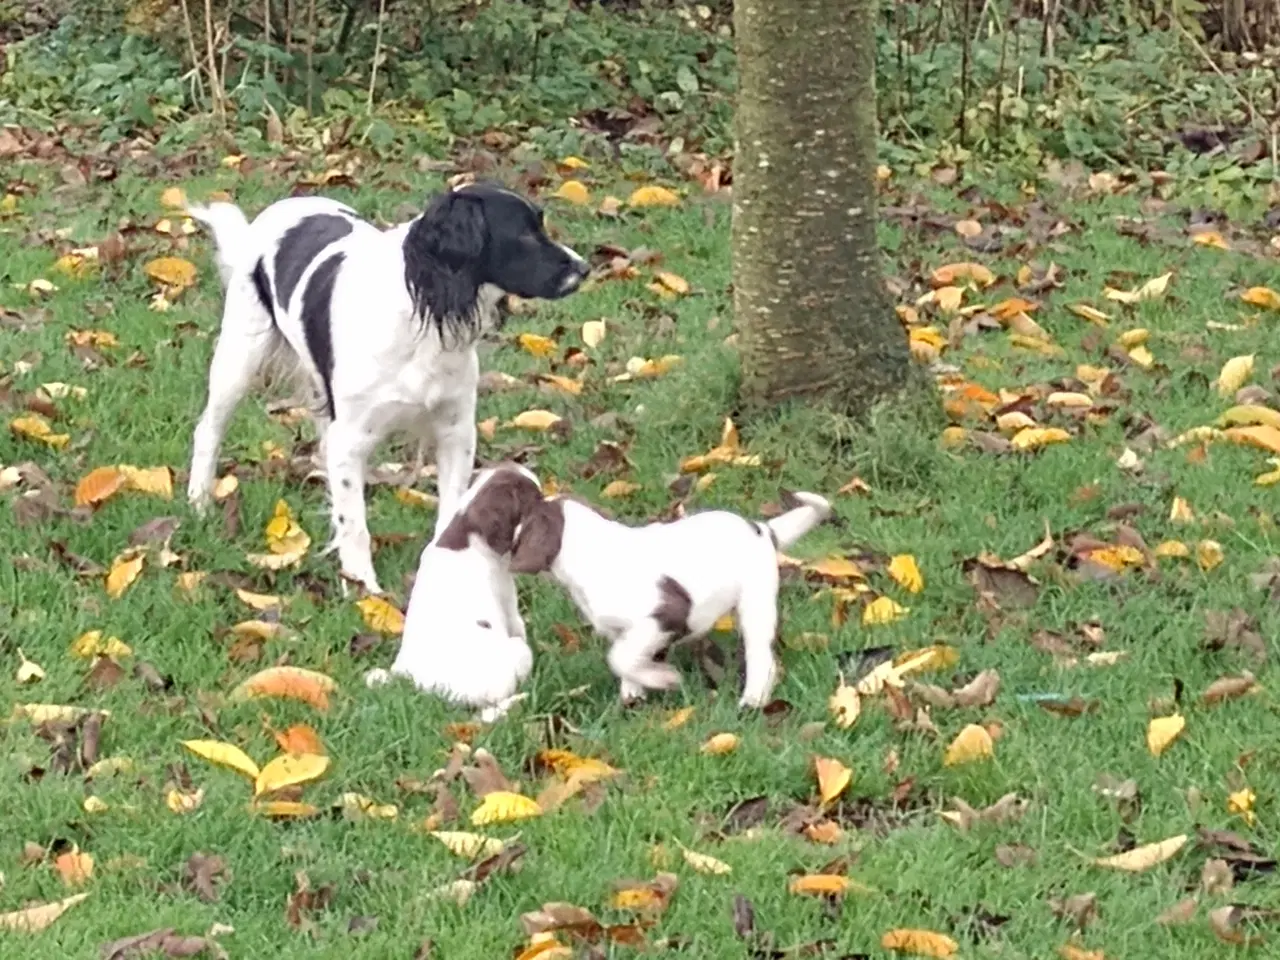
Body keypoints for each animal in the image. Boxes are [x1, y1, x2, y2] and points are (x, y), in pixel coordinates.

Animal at [184, 181, 588, 593]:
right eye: (524, 234)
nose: (584, 268)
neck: (420, 317)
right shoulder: (351, 438)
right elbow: (354, 523)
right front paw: (364, 589)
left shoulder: (456, 431)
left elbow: (450, 510)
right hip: (239, 356)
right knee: (209, 431)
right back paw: (199, 502)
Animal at [504, 496, 834, 706]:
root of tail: (762, 529)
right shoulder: (626, 630)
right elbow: (626, 659)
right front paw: (634, 693)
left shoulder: (665, 615)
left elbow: (620, 657)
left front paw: (663, 679)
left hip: (756, 601)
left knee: (760, 655)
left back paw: (753, 699)